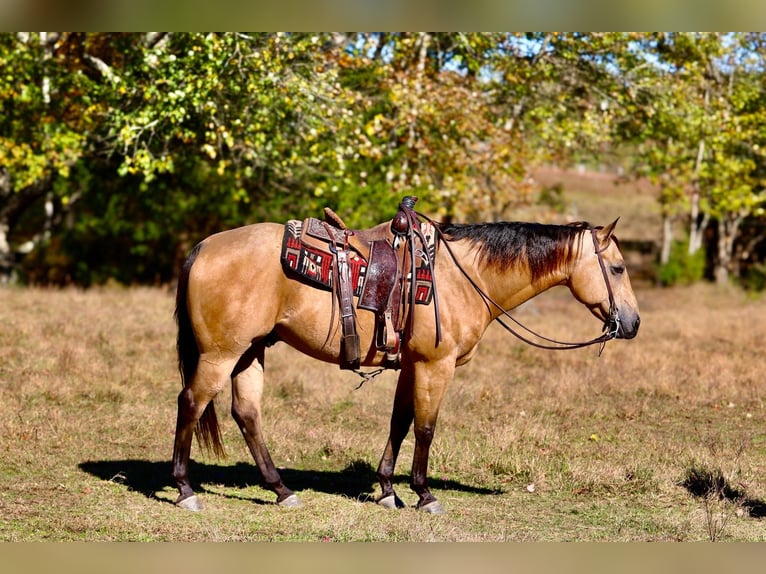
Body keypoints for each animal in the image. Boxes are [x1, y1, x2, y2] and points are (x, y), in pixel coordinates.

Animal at [171, 210, 640, 514]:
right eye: (617, 268)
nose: (633, 323)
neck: (463, 278)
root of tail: (203, 247)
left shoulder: (412, 364)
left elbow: (399, 422)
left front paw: (386, 489)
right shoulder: (436, 364)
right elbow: (426, 427)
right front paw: (424, 494)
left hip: (250, 350)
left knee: (247, 414)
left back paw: (281, 490)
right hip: (221, 353)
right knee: (191, 403)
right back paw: (185, 489)